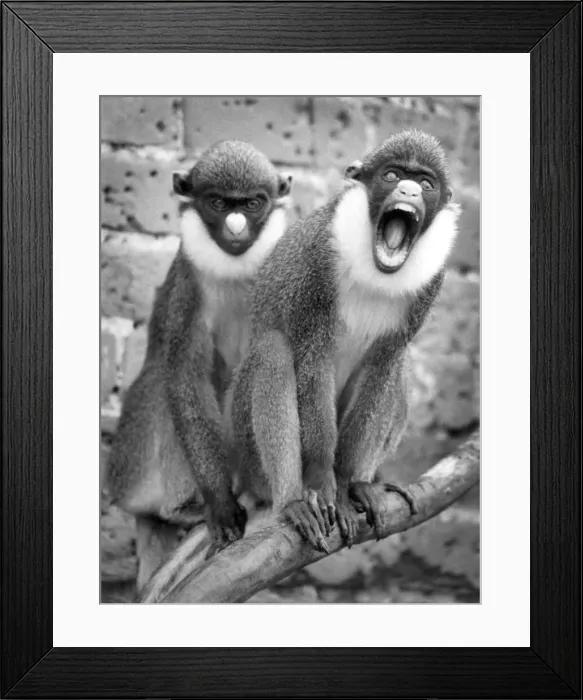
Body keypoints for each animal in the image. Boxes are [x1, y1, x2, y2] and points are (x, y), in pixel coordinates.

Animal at [107, 140, 293, 591]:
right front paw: (220, 504)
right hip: (135, 469)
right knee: (163, 386)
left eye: (253, 203)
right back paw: (184, 508)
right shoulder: (187, 288)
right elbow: (185, 380)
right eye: (219, 203)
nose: (236, 226)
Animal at [228, 129, 460, 552]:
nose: (408, 190)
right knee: (272, 350)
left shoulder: (431, 284)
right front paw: (324, 483)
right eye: (392, 175)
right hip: (248, 452)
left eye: (425, 183)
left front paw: (351, 483)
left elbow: (385, 365)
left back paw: (363, 484)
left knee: (400, 369)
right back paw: (293, 502)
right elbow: (313, 359)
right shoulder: (317, 264)